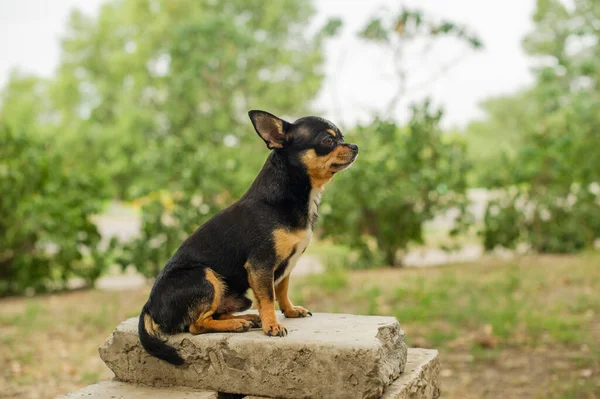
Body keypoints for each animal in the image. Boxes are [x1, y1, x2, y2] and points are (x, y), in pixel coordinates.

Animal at [139, 109, 356, 366]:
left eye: (342, 137)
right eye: (328, 141)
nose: (354, 146)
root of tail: (149, 305)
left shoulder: (284, 266)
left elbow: (281, 291)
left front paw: (289, 311)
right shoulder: (261, 265)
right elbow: (269, 297)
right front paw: (272, 325)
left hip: (239, 297)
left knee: (220, 313)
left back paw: (250, 318)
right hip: (204, 277)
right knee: (196, 325)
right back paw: (237, 323)